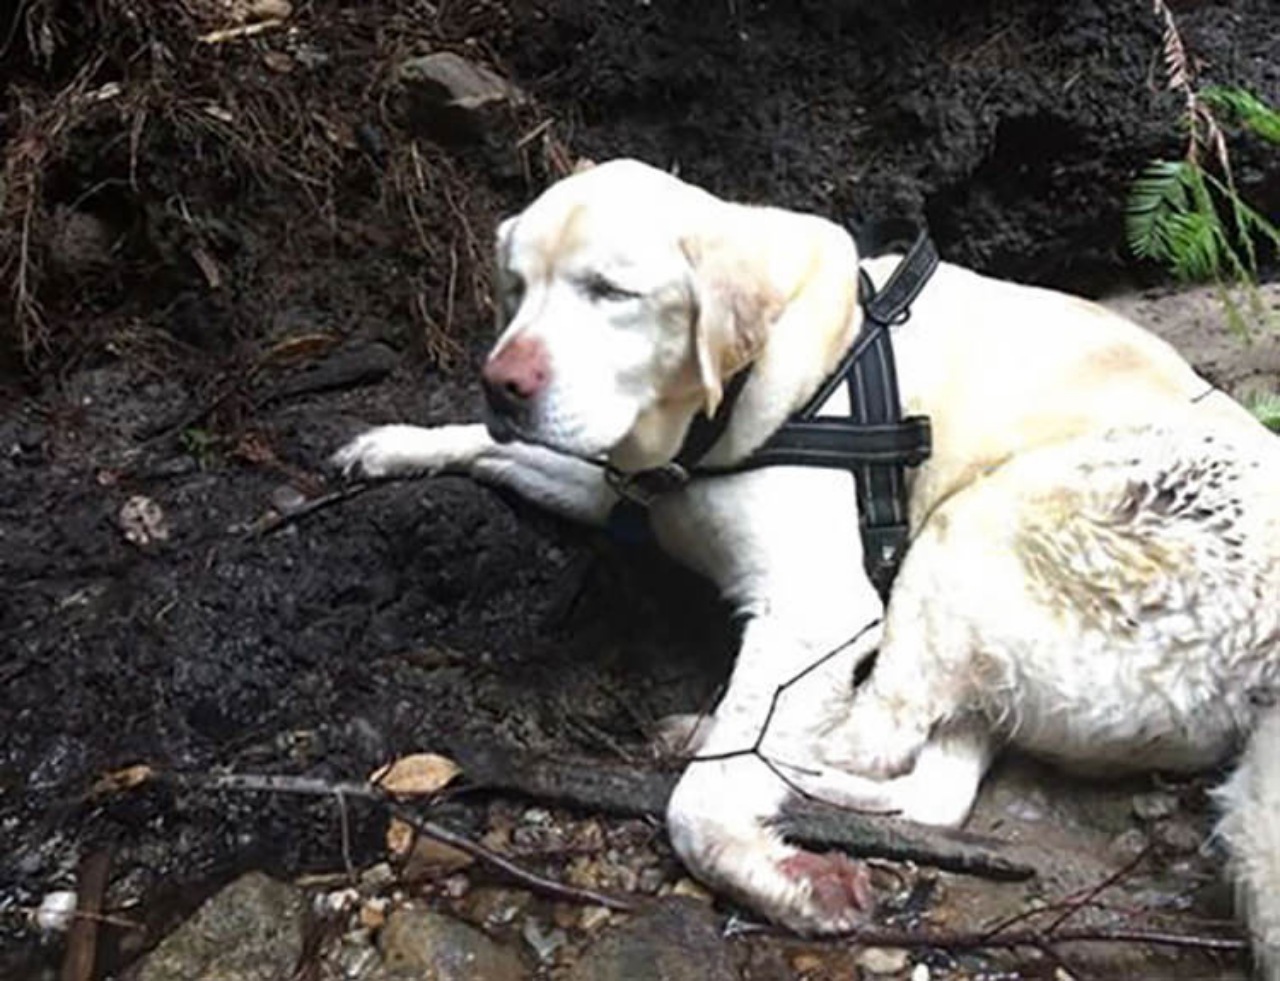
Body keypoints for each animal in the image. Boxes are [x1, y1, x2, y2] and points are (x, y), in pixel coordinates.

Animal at [335, 161, 1280, 973]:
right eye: (516, 288)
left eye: (611, 293)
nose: (503, 381)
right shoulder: (618, 483)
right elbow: (493, 450)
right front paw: (396, 443)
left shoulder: (818, 607)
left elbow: (699, 805)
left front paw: (776, 874)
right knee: (930, 786)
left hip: (976, 527)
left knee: (868, 736)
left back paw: (723, 741)